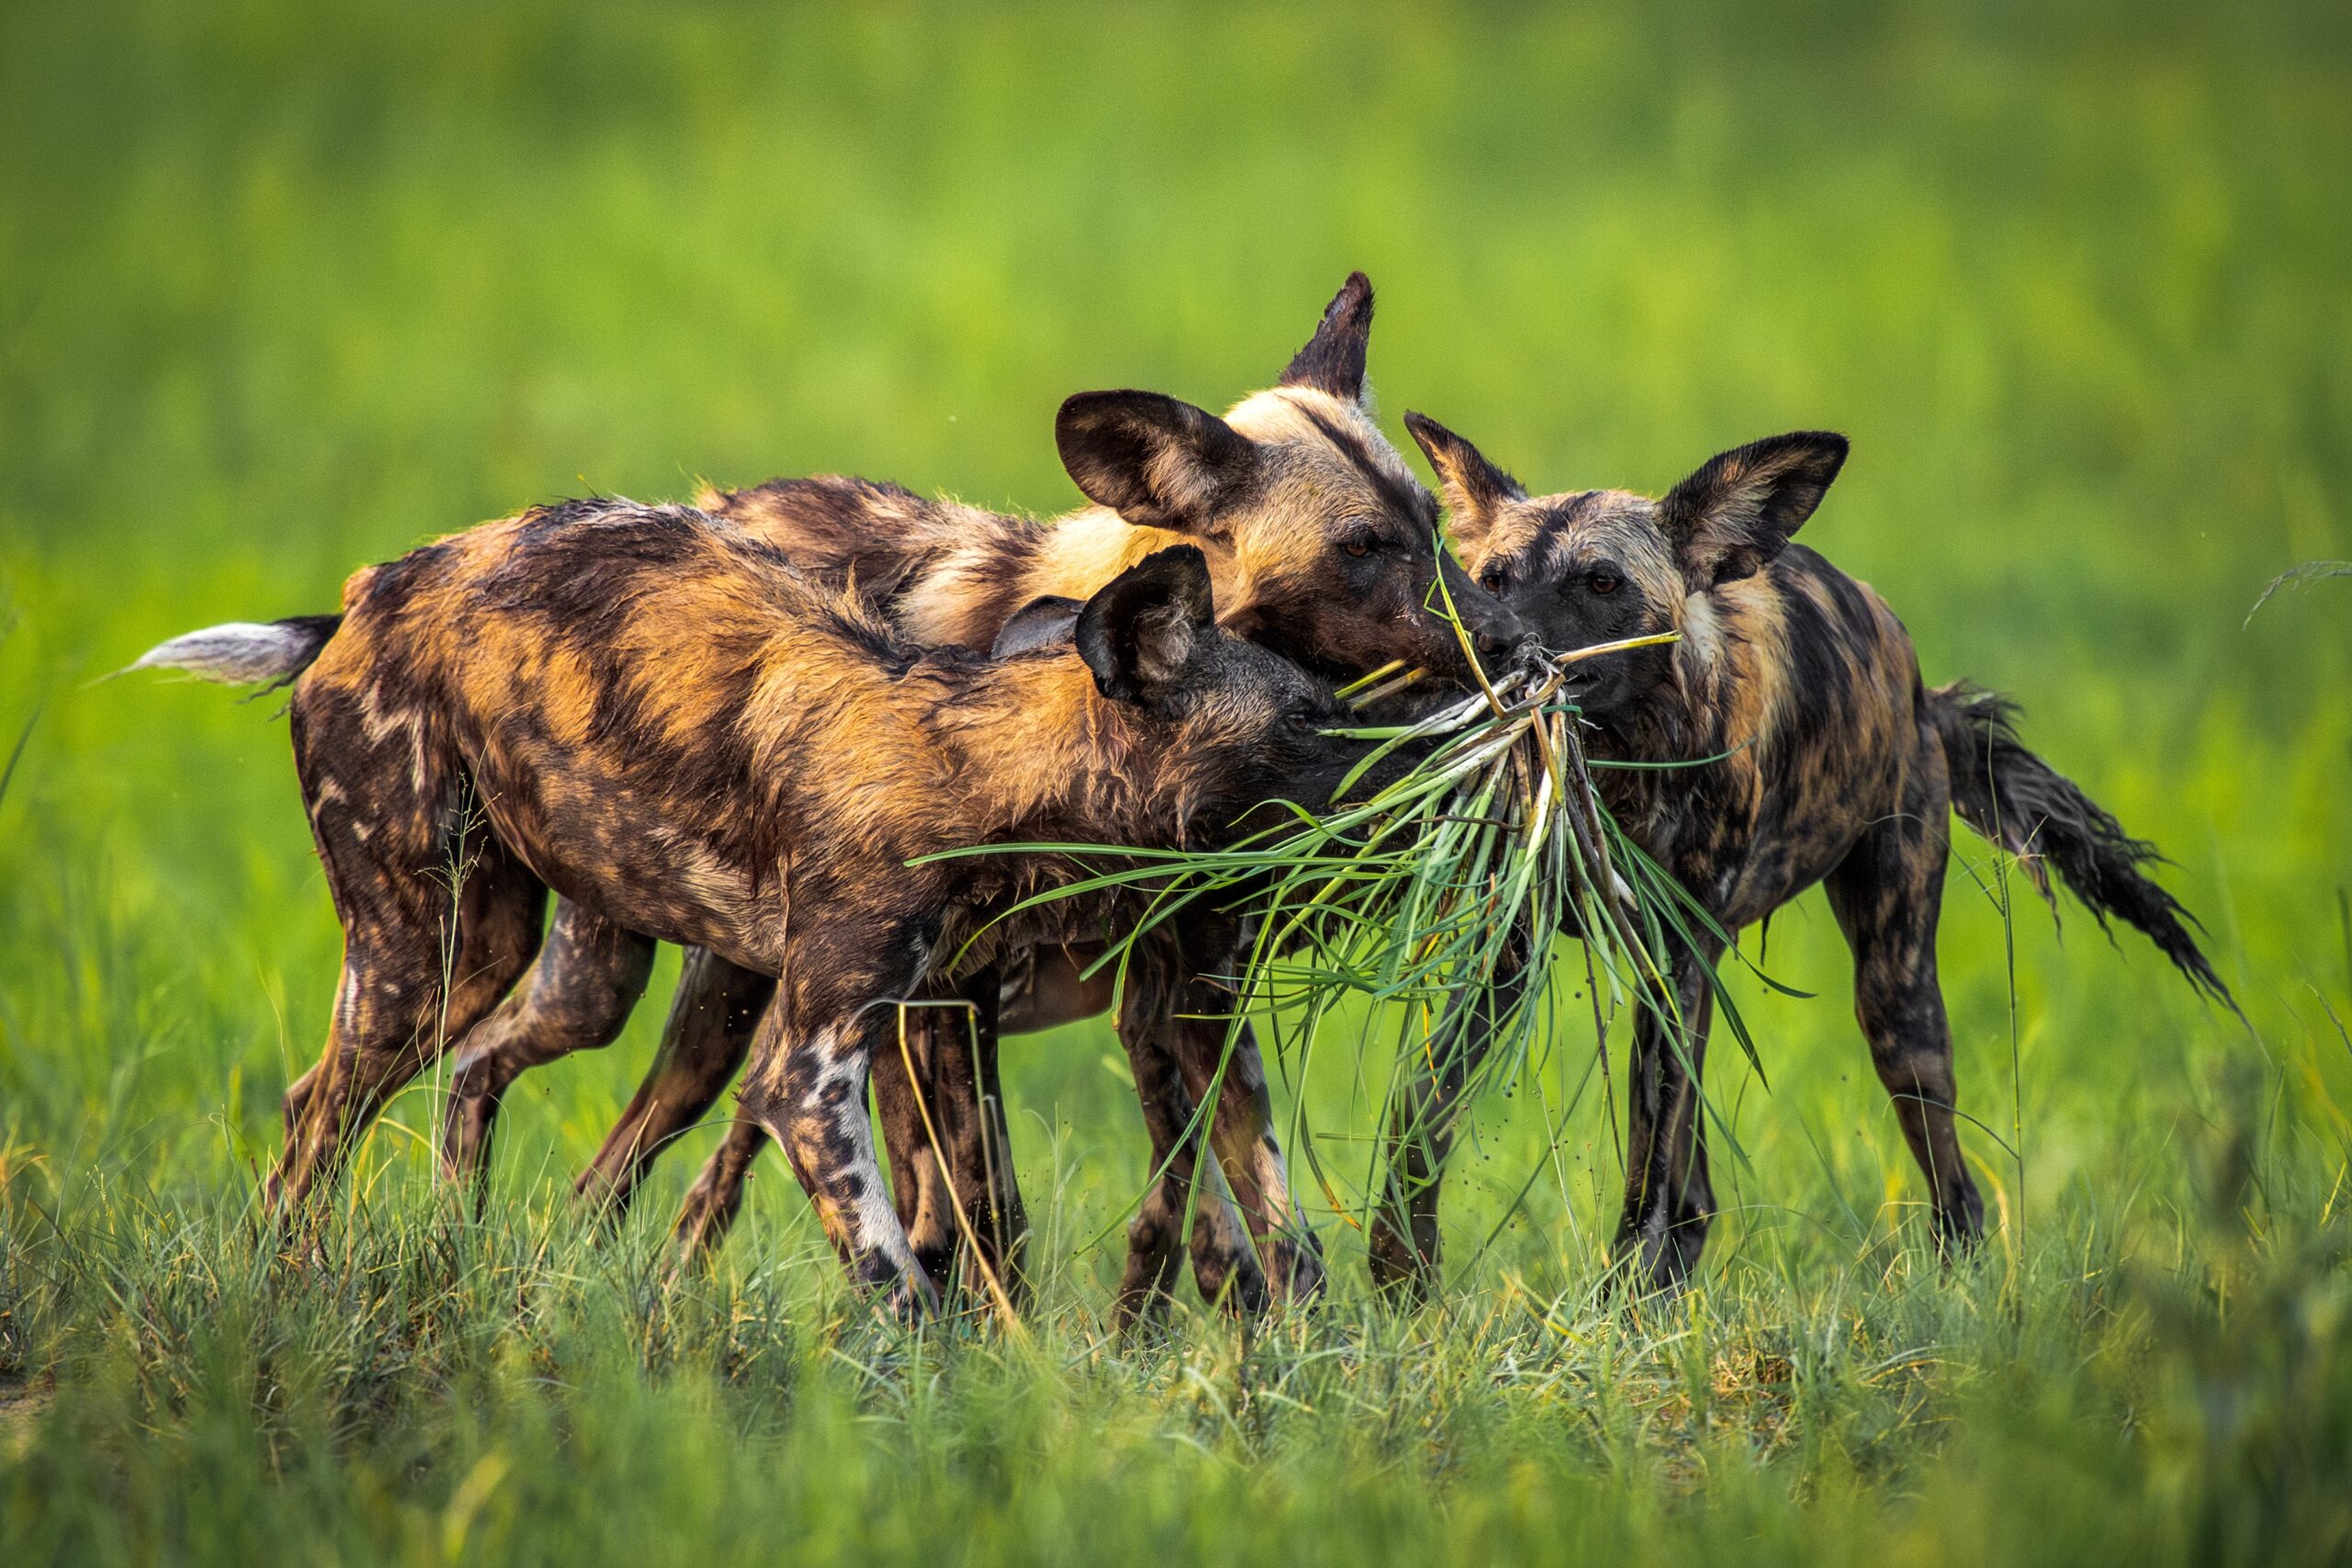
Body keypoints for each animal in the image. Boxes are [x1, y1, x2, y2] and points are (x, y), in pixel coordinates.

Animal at [198, 502, 1374, 1316]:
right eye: (1312, 720)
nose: (1411, 765)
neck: (980, 772)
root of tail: (369, 592)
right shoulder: (807, 1073)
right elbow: (906, 1286)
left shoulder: (915, 1020)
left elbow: (978, 1247)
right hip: (419, 957)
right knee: (313, 1117)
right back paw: (281, 1292)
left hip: (527, 964)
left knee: (459, 1075)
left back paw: (455, 1256)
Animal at [1374, 415, 2239, 1297]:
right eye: (1492, 577)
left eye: (1602, 583)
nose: (1501, 651)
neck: (1622, 768)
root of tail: (1924, 696)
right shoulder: (1510, 954)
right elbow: (1422, 1112)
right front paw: (1400, 1281)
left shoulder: (1674, 966)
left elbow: (1647, 1165)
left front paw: (1612, 1308)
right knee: (1697, 1193)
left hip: (1894, 1003)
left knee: (1950, 1184)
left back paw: (1951, 1287)